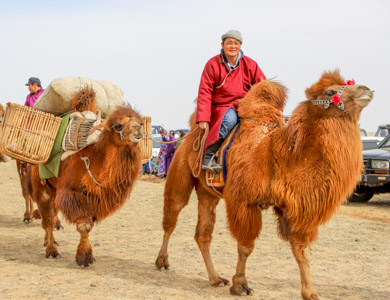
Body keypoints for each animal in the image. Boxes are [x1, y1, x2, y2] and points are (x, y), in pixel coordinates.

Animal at [30, 88, 143, 266]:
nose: (138, 131)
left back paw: (49, 242)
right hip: (41, 185)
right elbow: (84, 225)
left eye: (140, 122)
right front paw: (84, 258)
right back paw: (51, 250)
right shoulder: (70, 192)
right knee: (47, 218)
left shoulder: (93, 196)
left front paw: (87, 256)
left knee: (51, 216)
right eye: (118, 125)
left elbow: (89, 225)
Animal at [157, 69, 374, 298]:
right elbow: (245, 246)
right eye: (331, 92)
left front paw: (310, 292)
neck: (281, 156)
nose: (365, 89)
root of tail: (187, 136)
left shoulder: (293, 207)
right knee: (172, 215)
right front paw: (240, 285)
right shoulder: (244, 202)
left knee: (203, 234)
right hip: (180, 170)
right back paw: (162, 261)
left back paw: (215, 278)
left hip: (208, 192)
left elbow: (302, 250)